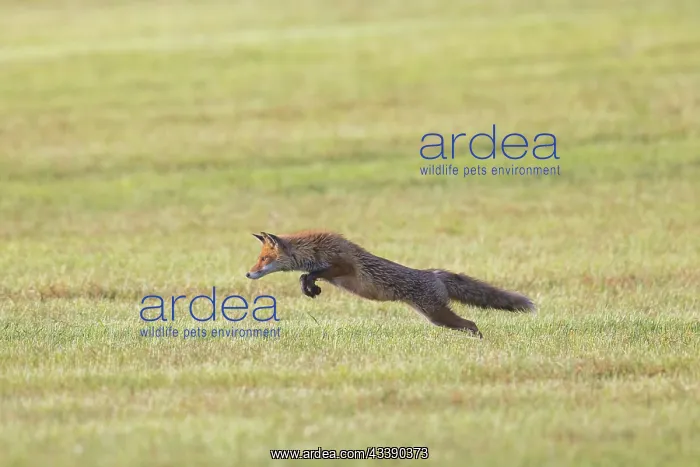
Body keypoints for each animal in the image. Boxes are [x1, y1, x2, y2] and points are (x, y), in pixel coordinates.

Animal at [246, 230, 535, 338]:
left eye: (263, 259)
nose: (248, 274)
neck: (314, 250)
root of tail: (433, 273)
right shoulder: (331, 271)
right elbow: (307, 275)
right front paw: (309, 287)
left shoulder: (343, 265)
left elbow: (314, 272)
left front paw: (310, 284)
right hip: (434, 317)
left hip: (437, 315)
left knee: (472, 324)